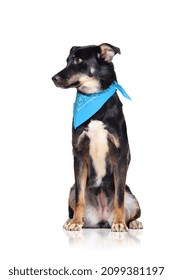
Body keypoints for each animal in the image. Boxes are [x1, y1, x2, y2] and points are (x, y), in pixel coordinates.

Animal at [51, 44, 143, 232]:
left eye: (79, 61)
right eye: (67, 61)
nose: (53, 78)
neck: (95, 100)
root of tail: (102, 219)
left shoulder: (120, 157)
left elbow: (119, 199)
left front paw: (119, 223)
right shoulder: (79, 156)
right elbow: (80, 198)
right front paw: (76, 222)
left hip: (133, 197)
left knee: (129, 206)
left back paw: (132, 222)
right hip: (71, 190)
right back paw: (71, 220)